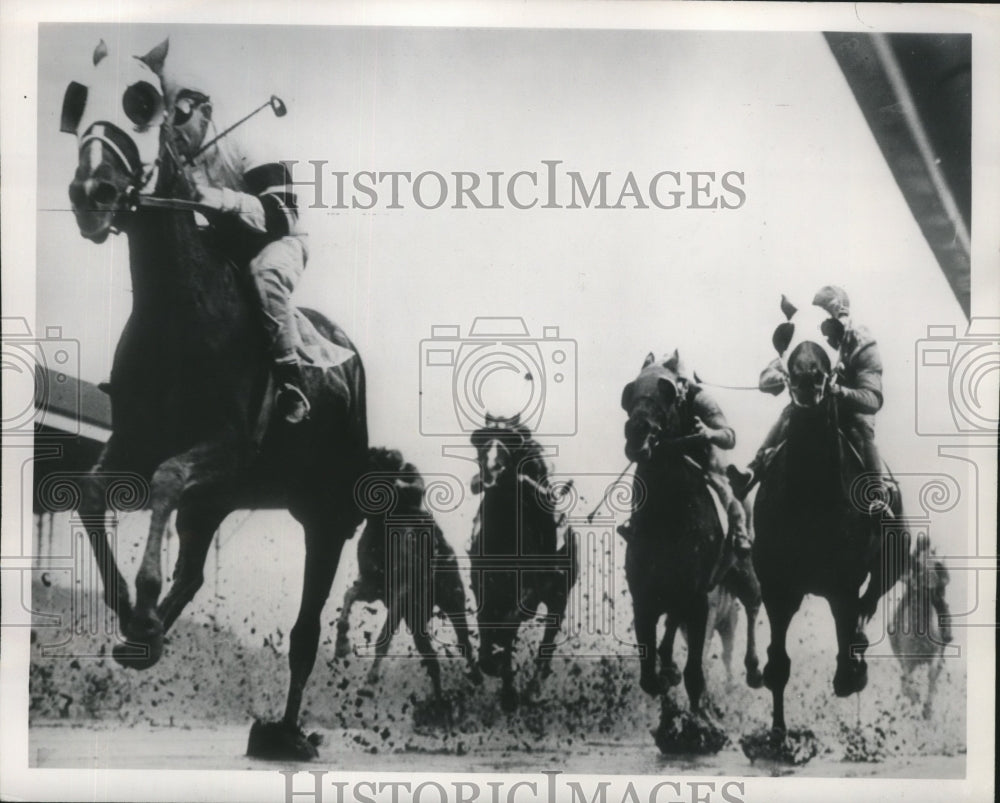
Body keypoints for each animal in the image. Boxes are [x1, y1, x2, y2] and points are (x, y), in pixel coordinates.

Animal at [63, 39, 368, 760]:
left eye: (140, 103)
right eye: (78, 104)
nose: (92, 193)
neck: (180, 311)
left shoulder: (225, 447)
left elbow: (168, 477)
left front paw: (142, 599)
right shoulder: (134, 438)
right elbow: (92, 490)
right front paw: (130, 609)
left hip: (325, 516)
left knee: (305, 633)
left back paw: (286, 732)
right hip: (220, 503)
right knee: (198, 570)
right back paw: (149, 637)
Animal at [468, 414, 580, 708]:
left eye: (512, 443)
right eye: (479, 441)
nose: (490, 471)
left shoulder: (528, 595)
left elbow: (507, 628)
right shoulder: (485, 592)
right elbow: (487, 627)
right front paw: (492, 664)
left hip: (557, 599)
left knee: (546, 642)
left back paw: (532, 686)